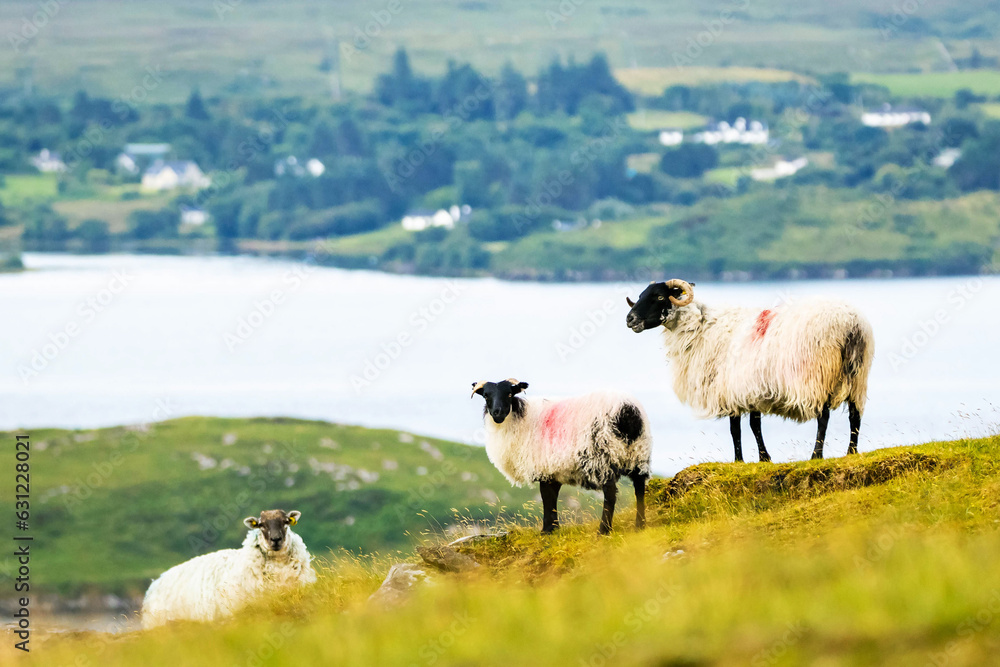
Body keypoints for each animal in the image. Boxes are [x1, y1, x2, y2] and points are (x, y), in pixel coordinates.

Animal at [471, 378, 652, 534]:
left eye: (509, 394)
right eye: (486, 395)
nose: (497, 413)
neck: (520, 418)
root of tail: (627, 410)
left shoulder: (543, 468)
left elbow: (547, 499)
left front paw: (546, 531)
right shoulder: (554, 472)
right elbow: (552, 500)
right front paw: (553, 529)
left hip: (603, 456)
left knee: (610, 494)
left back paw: (603, 531)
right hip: (639, 454)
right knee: (639, 489)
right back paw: (640, 526)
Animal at [624, 279, 874, 462]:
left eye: (659, 296)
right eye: (640, 295)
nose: (630, 319)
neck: (702, 328)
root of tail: (851, 323)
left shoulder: (731, 388)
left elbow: (738, 428)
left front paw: (742, 460)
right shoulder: (750, 388)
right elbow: (753, 425)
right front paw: (762, 458)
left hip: (818, 375)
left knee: (823, 416)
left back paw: (816, 455)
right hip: (858, 376)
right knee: (855, 415)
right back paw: (851, 452)